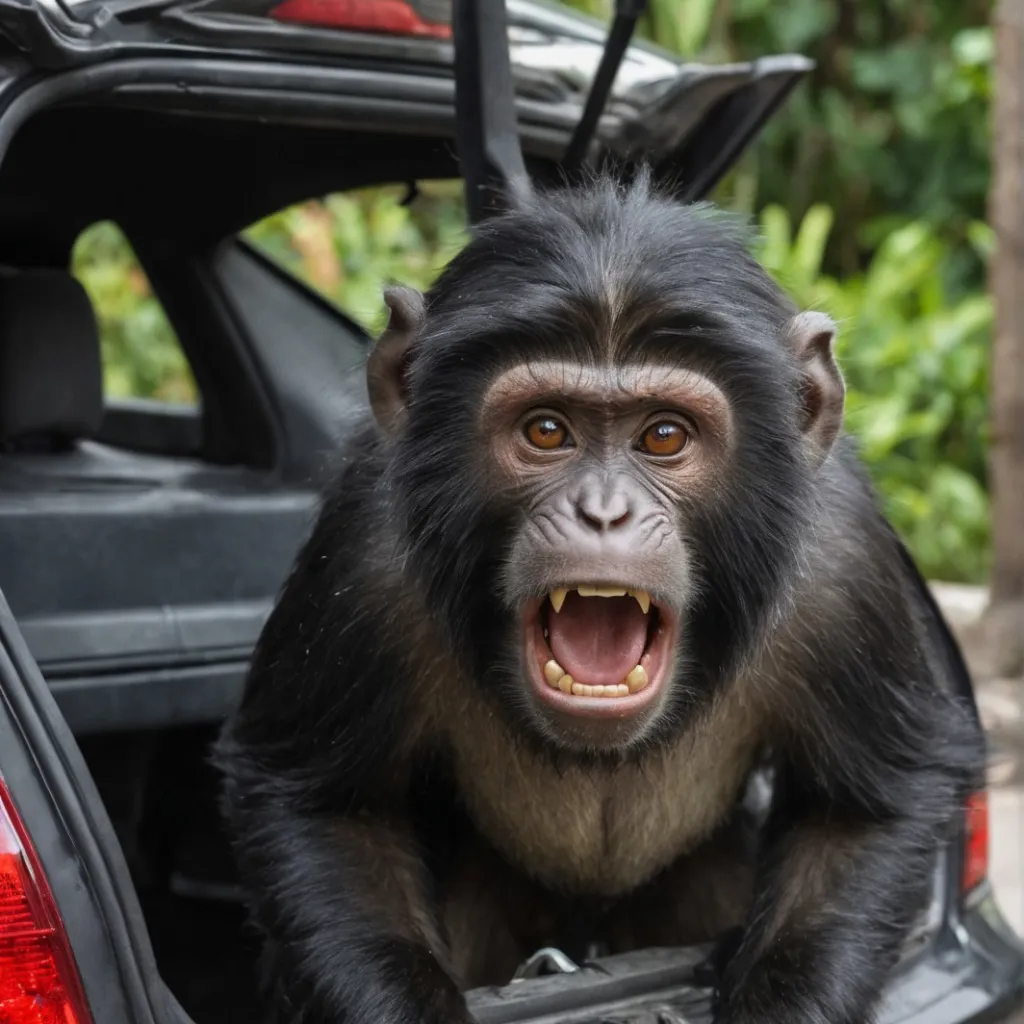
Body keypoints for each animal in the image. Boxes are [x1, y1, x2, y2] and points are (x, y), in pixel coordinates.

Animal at [215, 170, 984, 1024]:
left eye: (664, 436)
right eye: (547, 430)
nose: (604, 511)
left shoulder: (845, 567)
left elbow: (864, 810)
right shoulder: (362, 555)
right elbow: (324, 808)